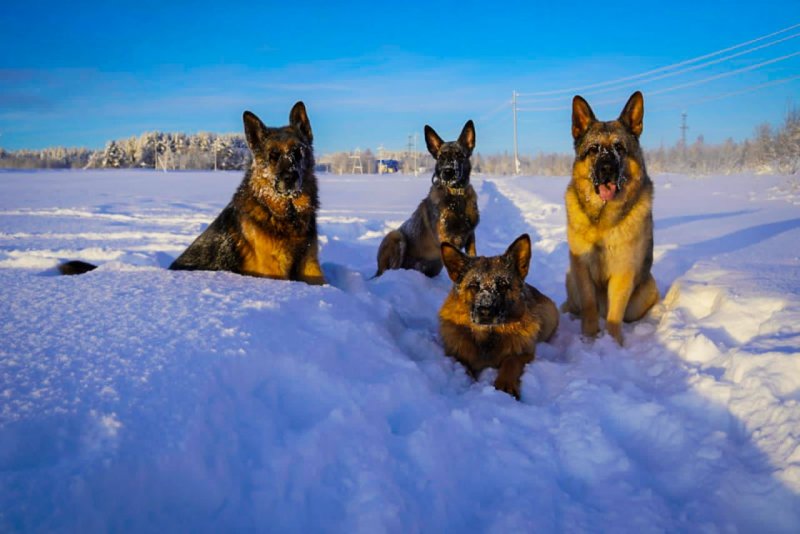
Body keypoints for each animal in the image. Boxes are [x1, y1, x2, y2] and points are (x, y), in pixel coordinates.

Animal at [60, 100, 324, 284]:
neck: (286, 214)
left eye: (298, 152)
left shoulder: (310, 266)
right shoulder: (274, 271)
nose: (290, 179)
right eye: (273, 156)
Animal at [438, 236, 556, 402]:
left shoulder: (524, 353)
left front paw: (505, 384)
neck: (488, 336)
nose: (485, 311)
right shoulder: (456, 354)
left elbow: (511, 361)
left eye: (502, 285)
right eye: (474, 285)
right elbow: (464, 366)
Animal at [564, 91, 656, 344]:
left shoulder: (623, 273)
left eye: (619, 148)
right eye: (594, 149)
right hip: (571, 278)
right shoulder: (582, 269)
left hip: (646, 291)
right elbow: (588, 306)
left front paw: (613, 344)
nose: (607, 169)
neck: (602, 220)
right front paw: (589, 338)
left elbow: (615, 315)